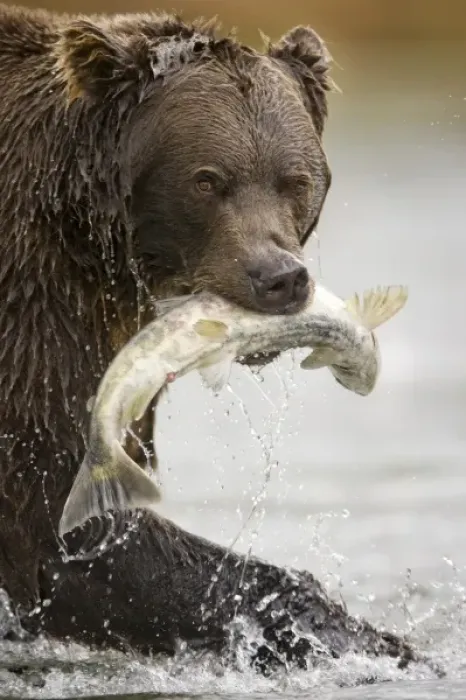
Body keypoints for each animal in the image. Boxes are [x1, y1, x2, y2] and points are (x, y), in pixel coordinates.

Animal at [0, 2, 435, 679]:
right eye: (207, 180)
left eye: (295, 180)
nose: (280, 277)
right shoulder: (35, 300)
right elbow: (53, 515)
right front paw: (376, 642)